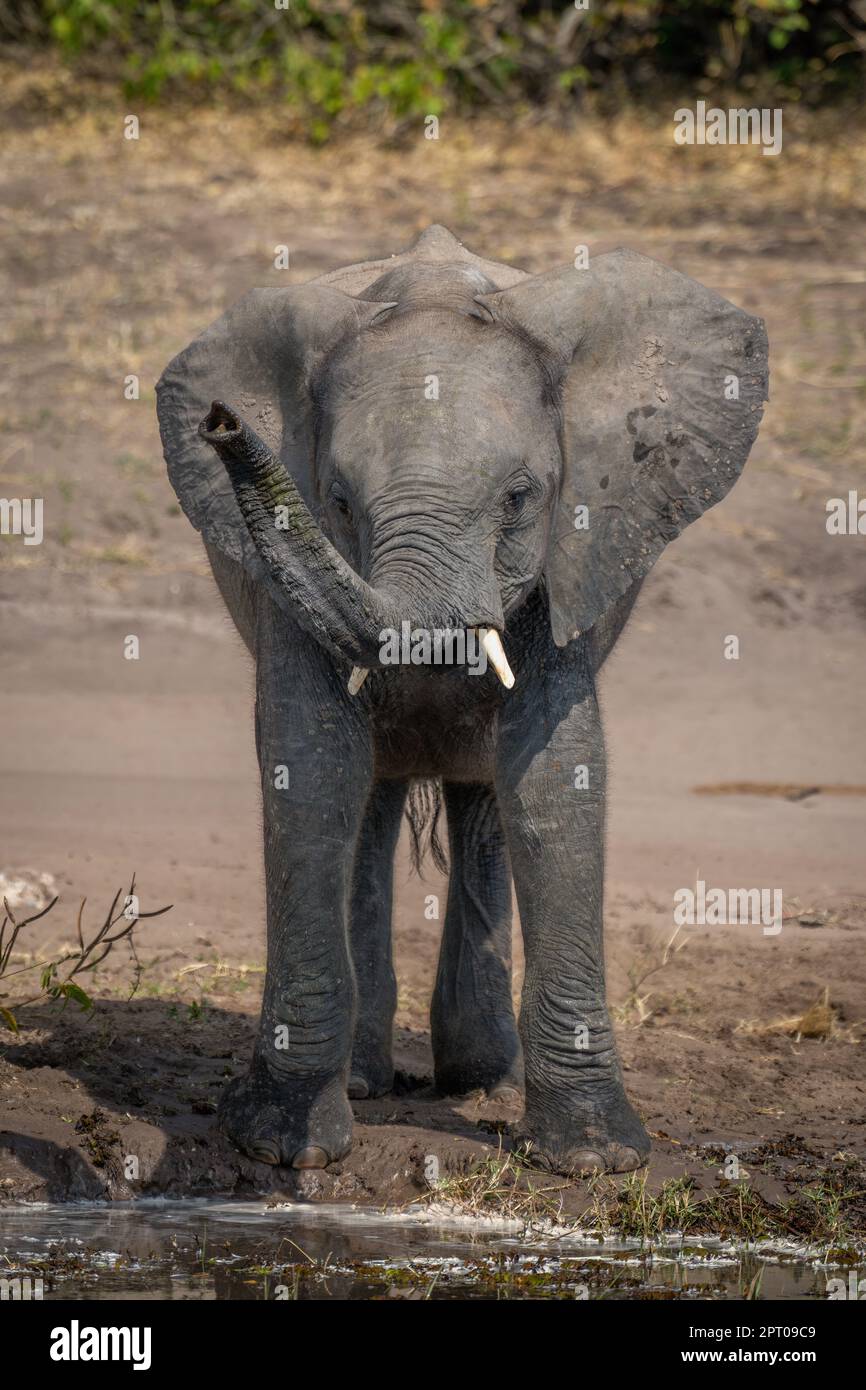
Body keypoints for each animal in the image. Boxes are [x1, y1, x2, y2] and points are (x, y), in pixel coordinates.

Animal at [157, 224, 768, 1176]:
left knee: (480, 797)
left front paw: (595, 1158)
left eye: (518, 498)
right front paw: (284, 1147)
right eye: (338, 501)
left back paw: (481, 1083)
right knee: (372, 797)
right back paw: (368, 1081)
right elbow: (312, 762)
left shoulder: (575, 547)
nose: (223, 422)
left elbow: (554, 772)